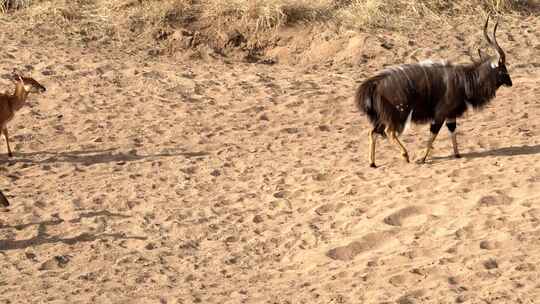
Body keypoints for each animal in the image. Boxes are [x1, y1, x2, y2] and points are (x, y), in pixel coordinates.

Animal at [356, 13, 512, 169]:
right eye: (503, 70)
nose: (510, 83)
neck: (464, 80)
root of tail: (376, 84)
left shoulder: (450, 115)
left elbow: (452, 131)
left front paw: (457, 155)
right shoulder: (440, 114)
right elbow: (433, 135)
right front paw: (422, 158)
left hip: (384, 116)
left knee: (373, 132)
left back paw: (372, 163)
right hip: (398, 114)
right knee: (389, 132)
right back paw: (405, 155)